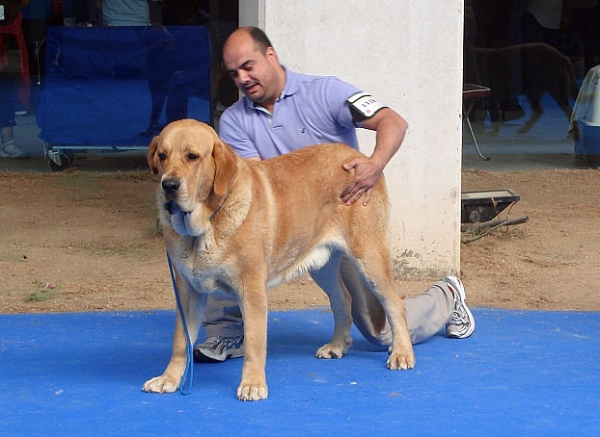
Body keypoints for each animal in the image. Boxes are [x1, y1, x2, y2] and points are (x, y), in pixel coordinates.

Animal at [142, 118, 412, 398]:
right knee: (343, 300)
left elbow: (254, 341)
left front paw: (252, 384)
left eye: (192, 156)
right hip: (323, 267)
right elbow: (180, 342)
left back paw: (402, 353)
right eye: (162, 156)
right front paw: (169, 379)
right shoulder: (187, 292)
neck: (206, 224)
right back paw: (336, 346)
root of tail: (361, 158)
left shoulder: (251, 289)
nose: (169, 185)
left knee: (394, 304)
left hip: (369, 258)